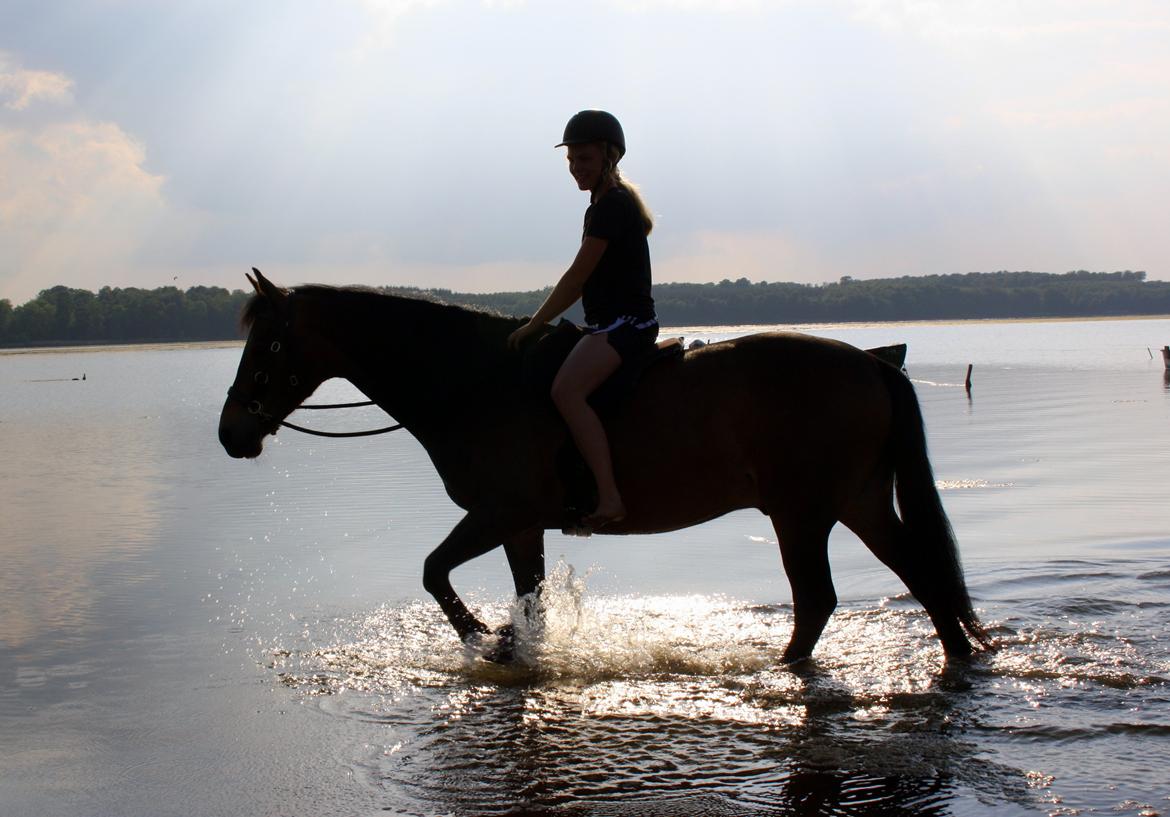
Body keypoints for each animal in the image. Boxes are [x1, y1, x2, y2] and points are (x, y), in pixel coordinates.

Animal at [217, 266, 987, 660]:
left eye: (272, 344)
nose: (232, 433)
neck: (472, 380)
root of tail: (872, 362)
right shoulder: (519, 524)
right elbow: (528, 600)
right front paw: (508, 640)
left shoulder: (499, 511)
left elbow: (435, 571)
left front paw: (483, 638)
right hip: (857, 501)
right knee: (920, 574)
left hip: (802, 513)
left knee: (819, 600)